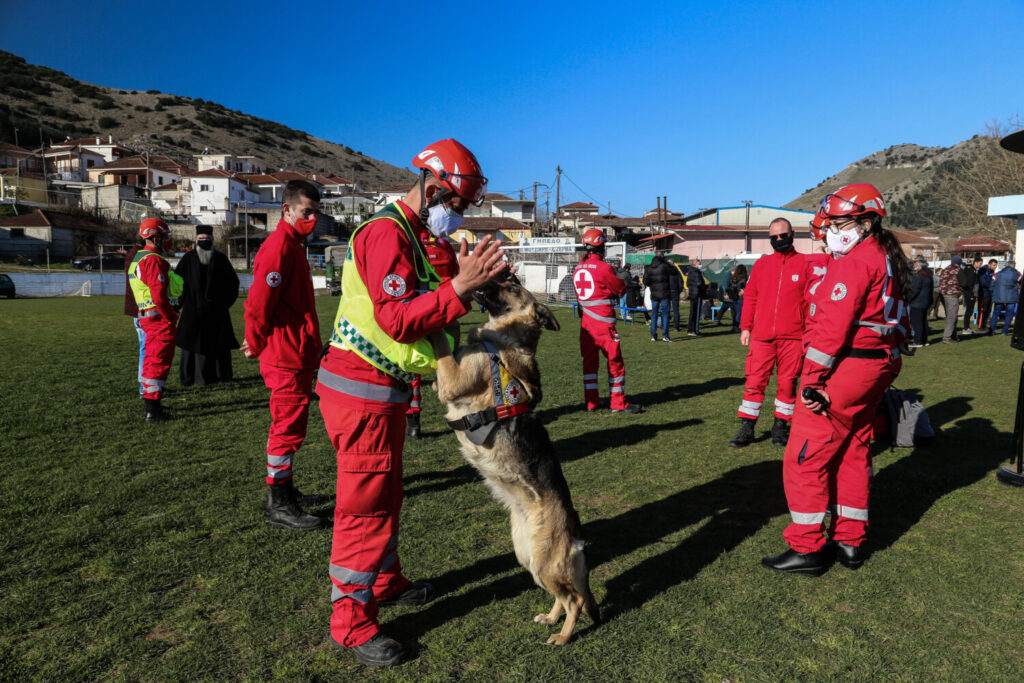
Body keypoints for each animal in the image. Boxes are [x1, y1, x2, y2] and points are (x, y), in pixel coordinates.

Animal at [430, 278, 598, 647]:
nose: (483, 281)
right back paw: (550, 618)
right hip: (530, 559)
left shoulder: (453, 381)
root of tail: (575, 533)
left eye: (512, 284)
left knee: (575, 600)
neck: (501, 340)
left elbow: (441, 347)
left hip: (543, 563)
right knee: (565, 596)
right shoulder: (445, 382)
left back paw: (563, 636)